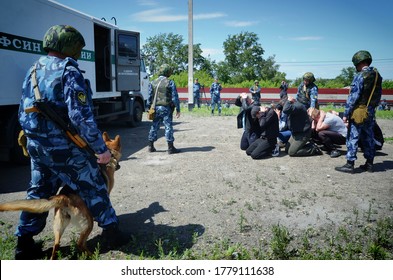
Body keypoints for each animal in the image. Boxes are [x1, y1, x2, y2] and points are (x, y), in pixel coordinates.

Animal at [0, 132, 121, 260]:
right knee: (80, 243)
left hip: (58, 226)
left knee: (56, 245)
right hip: (87, 224)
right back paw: (92, 255)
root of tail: (65, 197)